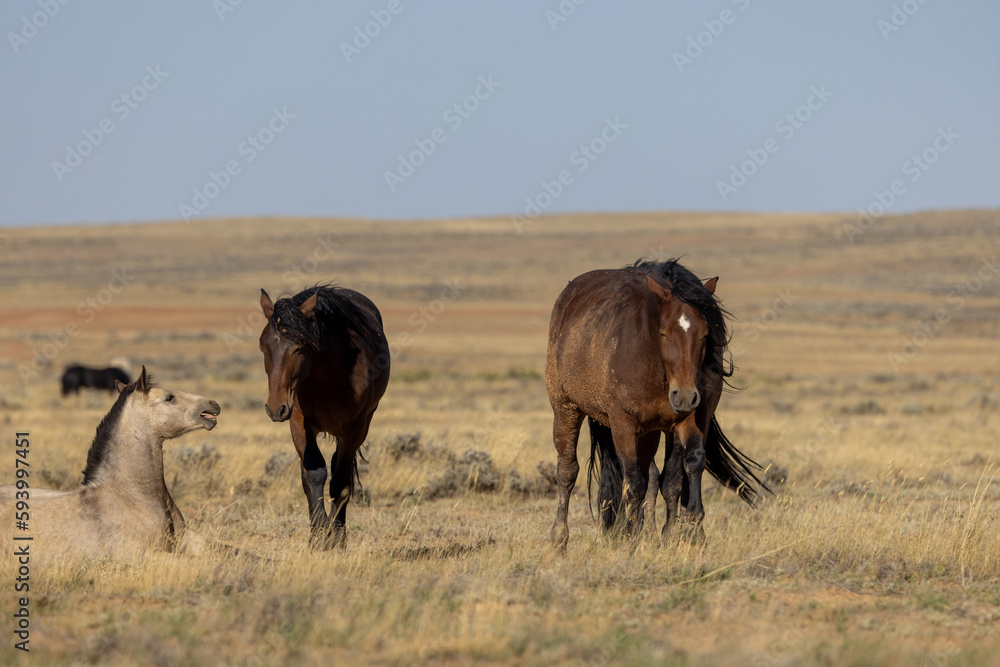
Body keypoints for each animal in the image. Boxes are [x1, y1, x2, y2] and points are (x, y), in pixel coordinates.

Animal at [259, 285, 390, 548]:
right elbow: (314, 473)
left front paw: (336, 536)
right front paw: (319, 535)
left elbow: (340, 482)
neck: (328, 379)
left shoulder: (354, 429)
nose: (275, 408)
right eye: (263, 346)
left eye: (299, 348)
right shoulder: (299, 423)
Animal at [545, 259, 768, 549]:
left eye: (705, 334)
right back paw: (559, 538)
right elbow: (633, 483)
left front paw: (687, 530)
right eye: (663, 333)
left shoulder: (690, 419)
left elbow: (679, 473)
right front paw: (630, 539)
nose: (684, 395)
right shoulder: (623, 422)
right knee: (568, 470)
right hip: (566, 408)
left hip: (649, 433)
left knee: (648, 474)